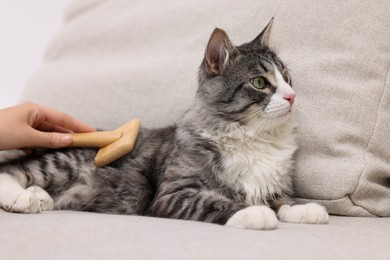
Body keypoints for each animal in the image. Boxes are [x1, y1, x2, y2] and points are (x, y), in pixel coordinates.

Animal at [0, 18, 330, 230]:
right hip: (63, 162)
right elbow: (216, 203)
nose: (292, 96)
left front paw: (305, 209)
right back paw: (21, 197)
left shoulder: (273, 186)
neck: (254, 137)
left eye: (287, 77)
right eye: (260, 82)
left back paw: (38, 198)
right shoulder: (173, 194)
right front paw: (255, 213)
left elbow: (283, 201)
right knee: (12, 170)